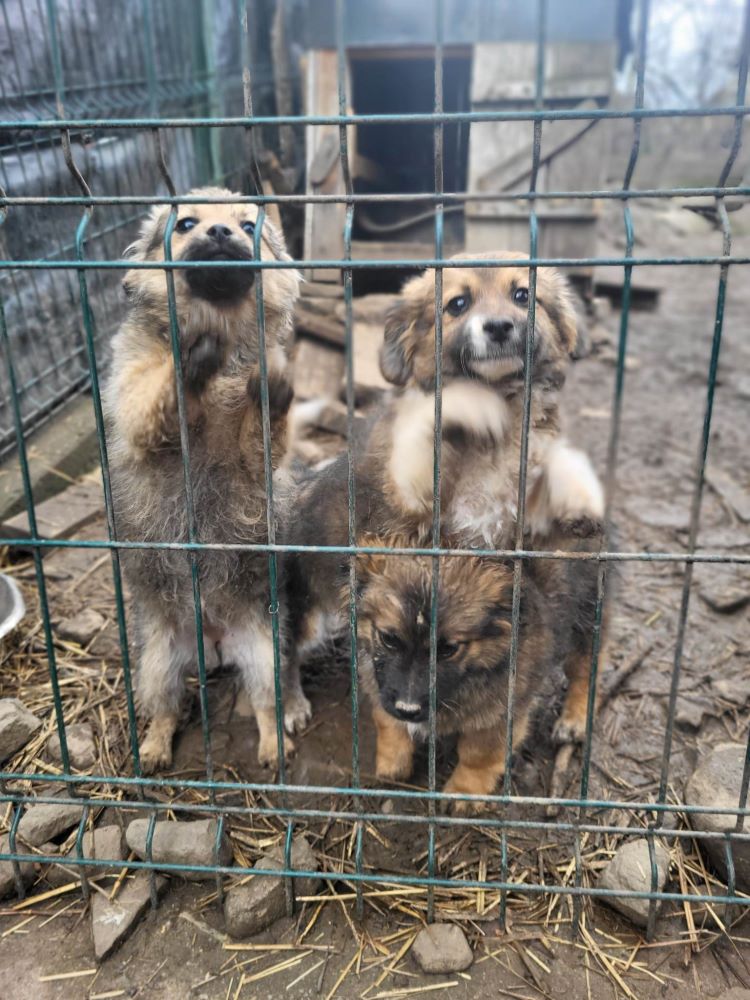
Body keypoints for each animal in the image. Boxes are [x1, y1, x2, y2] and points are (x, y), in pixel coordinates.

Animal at [103, 191, 312, 776]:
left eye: (249, 226)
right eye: (186, 223)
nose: (220, 233)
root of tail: (214, 639)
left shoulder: (252, 459)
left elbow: (261, 431)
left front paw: (271, 387)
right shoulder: (135, 403)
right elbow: (157, 394)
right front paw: (189, 365)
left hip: (262, 652)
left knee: (265, 702)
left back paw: (273, 748)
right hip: (157, 662)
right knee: (166, 708)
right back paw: (153, 749)